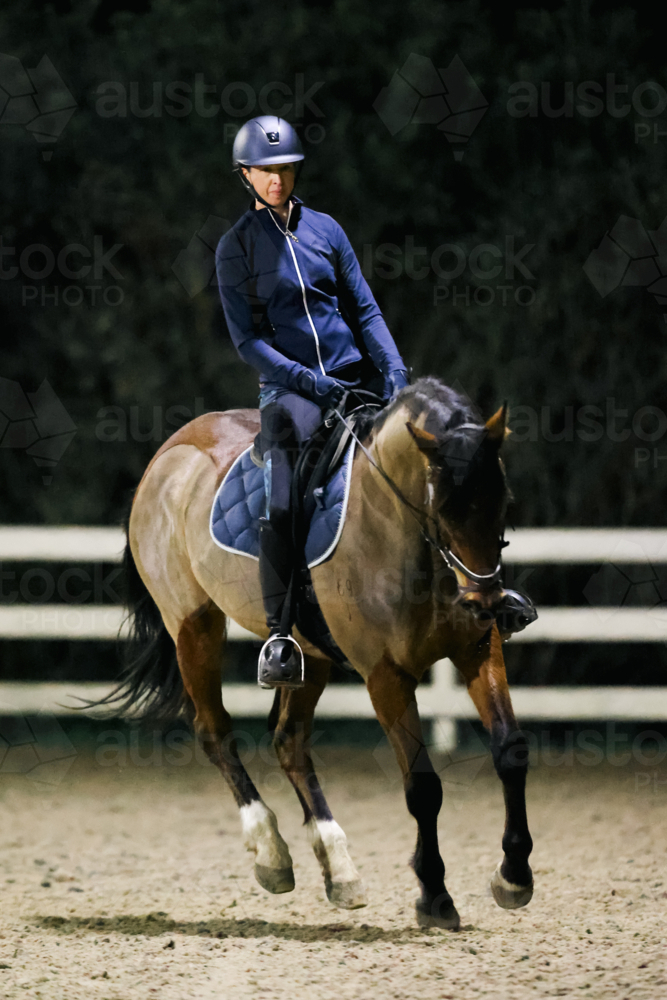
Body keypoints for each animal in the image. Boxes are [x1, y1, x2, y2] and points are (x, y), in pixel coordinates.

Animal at [103, 376, 533, 931]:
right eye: (442, 506)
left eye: (504, 500)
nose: (483, 602)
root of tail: (166, 453)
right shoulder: (386, 675)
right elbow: (423, 787)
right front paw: (435, 896)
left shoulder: (476, 648)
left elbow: (511, 751)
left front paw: (514, 877)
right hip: (194, 627)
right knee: (215, 731)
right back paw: (270, 852)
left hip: (309, 658)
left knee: (289, 740)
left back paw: (340, 867)